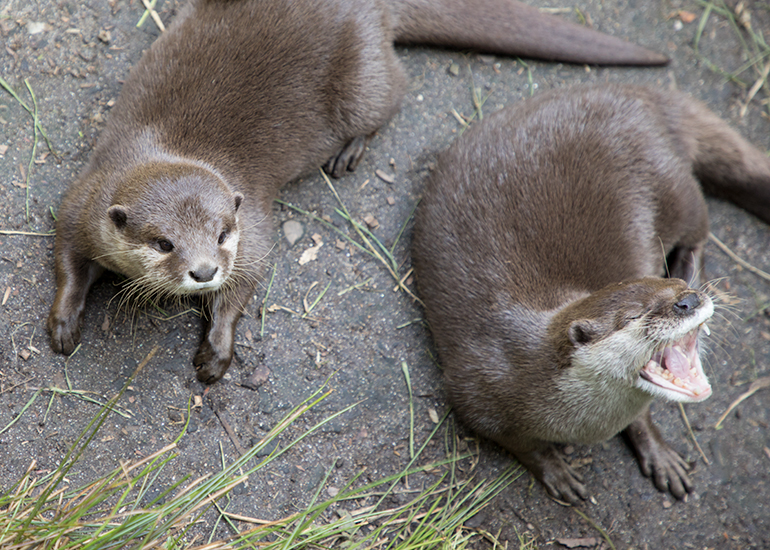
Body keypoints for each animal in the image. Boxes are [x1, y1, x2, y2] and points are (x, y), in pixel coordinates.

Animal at [48, 0, 667, 384]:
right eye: (163, 243)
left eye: (222, 234)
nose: (203, 271)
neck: (164, 150)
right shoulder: (82, 198)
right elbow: (66, 261)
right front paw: (63, 323)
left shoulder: (254, 224)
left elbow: (246, 283)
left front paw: (217, 351)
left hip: (362, 80)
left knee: (394, 91)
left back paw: (348, 152)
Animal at [411, 84, 770, 501]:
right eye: (635, 315)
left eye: (678, 292)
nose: (689, 298)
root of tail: (638, 96)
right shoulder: (475, 392)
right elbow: (523, 444)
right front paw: (556, 471)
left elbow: (641, 418)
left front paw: (660, 454)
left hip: (673, 185)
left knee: (698, 231)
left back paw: (688, 264)